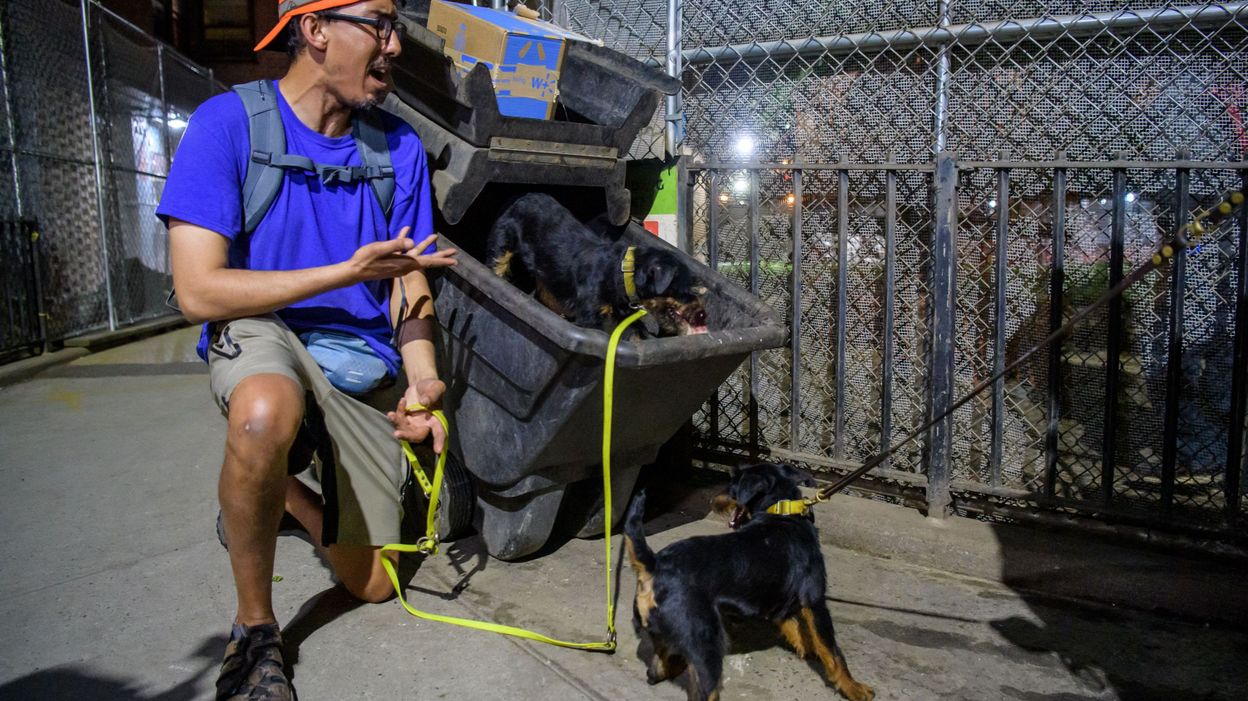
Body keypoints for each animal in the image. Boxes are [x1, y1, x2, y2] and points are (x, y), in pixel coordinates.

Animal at [484, 189, 708, 334]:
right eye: (684, 289)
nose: (703, 316)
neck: (621, 274)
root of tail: (520, 196)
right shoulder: (590, 317)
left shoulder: (619, 317)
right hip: (502, 245)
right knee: (496, 264)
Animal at [624, 461, 878, 693]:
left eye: (732, 487)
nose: (712, 501)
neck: (782, 512)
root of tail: (653, 564)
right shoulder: (815, 601)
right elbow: (832, 650)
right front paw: (852, 688)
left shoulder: (781, 605)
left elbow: (798, 632)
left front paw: (809, 649)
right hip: (706, 646)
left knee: (657, 670)